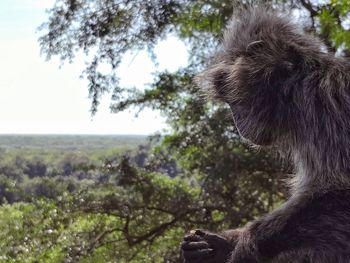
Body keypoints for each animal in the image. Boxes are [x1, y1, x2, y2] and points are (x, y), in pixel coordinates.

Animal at [180, 5, 350, 263]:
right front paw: (219, 244)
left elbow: (340, 188)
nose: (236, 122)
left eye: (231, 98)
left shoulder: (323, 104)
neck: (297, 83)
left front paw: (243, 246)